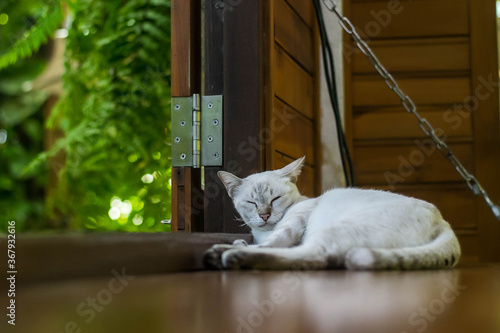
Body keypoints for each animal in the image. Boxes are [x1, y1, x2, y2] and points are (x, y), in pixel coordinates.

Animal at [203, 156, 460, 270]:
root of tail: (443, 222)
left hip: (335, 229)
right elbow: (261, 242)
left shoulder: (294, 222)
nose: (265, 215)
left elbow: (272, 242)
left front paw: (238, 246)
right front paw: (241, 242)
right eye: (251, 203)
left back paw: (231, 256)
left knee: (313, 257)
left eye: (274, 200)